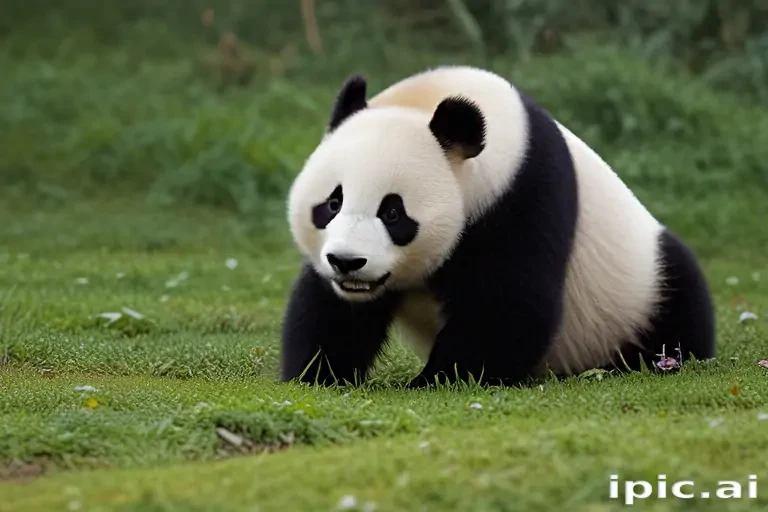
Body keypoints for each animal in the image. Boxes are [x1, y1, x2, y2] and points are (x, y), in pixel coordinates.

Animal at [279, 65, 716, 388]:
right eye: (332, 203)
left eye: (393, 213)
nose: (347, 262)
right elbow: (331, 309)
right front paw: (319, 373)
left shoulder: (523, 195)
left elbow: (508, 304)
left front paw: (440, 379)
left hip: (640, 289)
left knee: (679, 300)